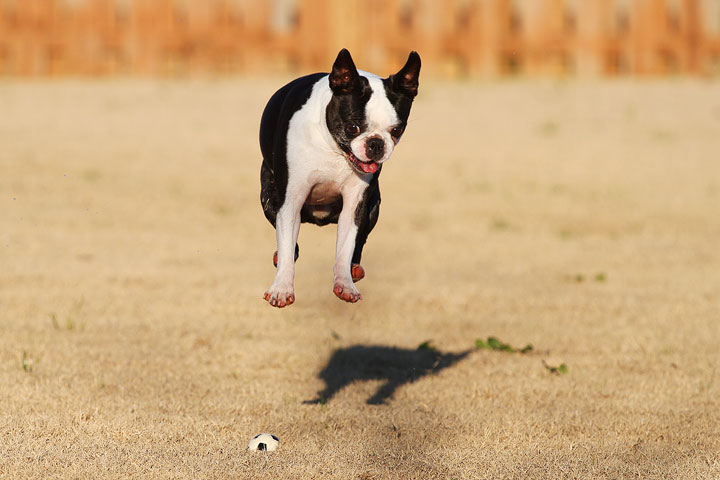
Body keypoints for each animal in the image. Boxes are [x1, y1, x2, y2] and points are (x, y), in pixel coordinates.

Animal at [258, 48, 420, 308]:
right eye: (352, 127)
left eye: (397, 130)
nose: (376, 144)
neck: (335, 150)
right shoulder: (290, 201)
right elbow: (286, 245)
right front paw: (282, 289)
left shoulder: (355, 205)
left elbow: (346, 247)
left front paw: (345, 284)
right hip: (269, 197)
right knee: (288, 243)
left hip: (373, 207)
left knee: (359, 242)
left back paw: (354, 268)